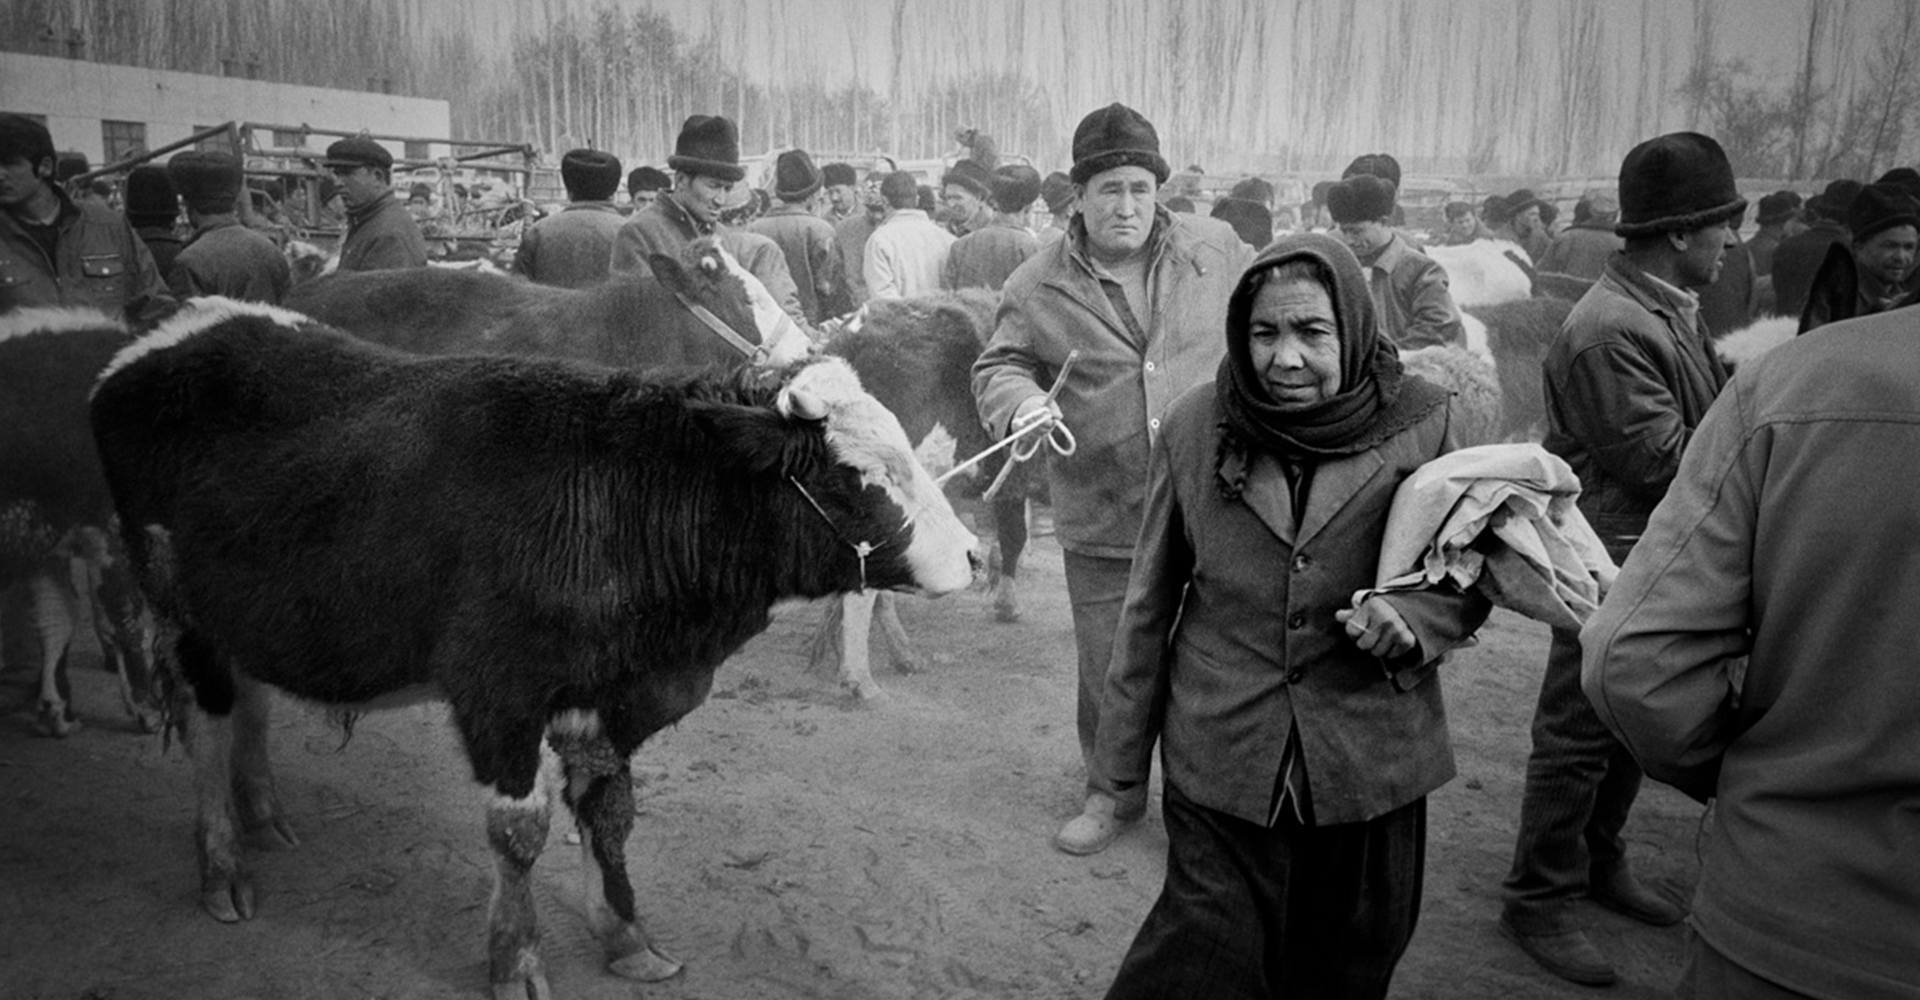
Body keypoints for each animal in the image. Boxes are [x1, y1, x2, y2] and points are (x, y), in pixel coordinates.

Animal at [91, 297, 983, 998]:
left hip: (245, 617)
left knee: (250, 707)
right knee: (207, 725)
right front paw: (515, 961)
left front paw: (624, 936)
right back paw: (222, 865)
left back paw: (266, 818)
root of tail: (169, 331)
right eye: (854, 475)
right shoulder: (500, 695)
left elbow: (609, 810)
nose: (974, 555)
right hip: (179, 613)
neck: (619, 501)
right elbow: (519, 832)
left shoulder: (613, 695)